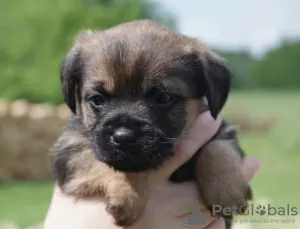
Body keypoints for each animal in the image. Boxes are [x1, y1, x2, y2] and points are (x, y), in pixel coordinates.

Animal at [52, 19, 253, 229]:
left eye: (163, 97)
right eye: (97, 99)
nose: (123, 137)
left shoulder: (220, 128)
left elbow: (218, 149)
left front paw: (228, 192)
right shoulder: (71, 148)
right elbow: (114, 165)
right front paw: (128, 193)